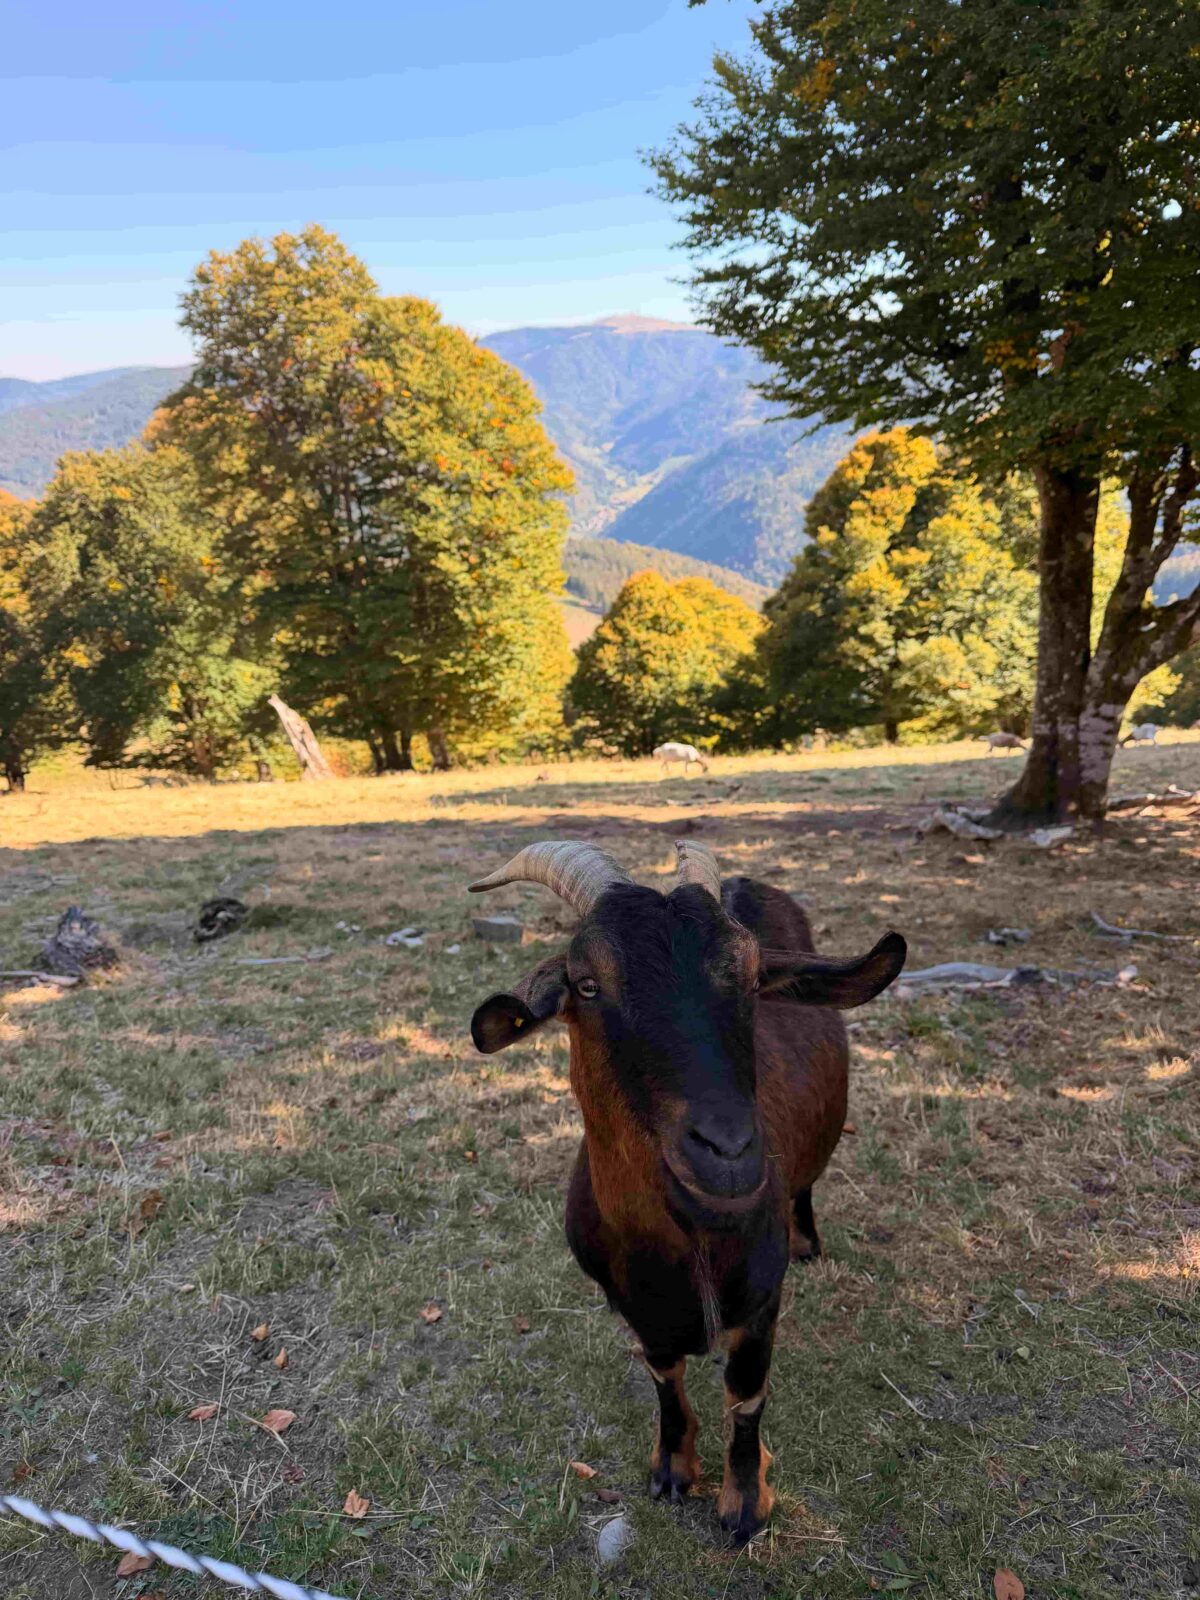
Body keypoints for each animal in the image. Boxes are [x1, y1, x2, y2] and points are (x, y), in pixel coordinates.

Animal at [468, 839, 906, 1543]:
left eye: (753, 979)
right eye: (586, 984)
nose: (728, 1152)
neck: (689, 1239)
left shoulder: (762, 1297)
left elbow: (746, 1393)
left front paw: (744, 1503)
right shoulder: (632, 1302)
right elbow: (664, 1377)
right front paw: (673, 1470)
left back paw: (810, 1240)